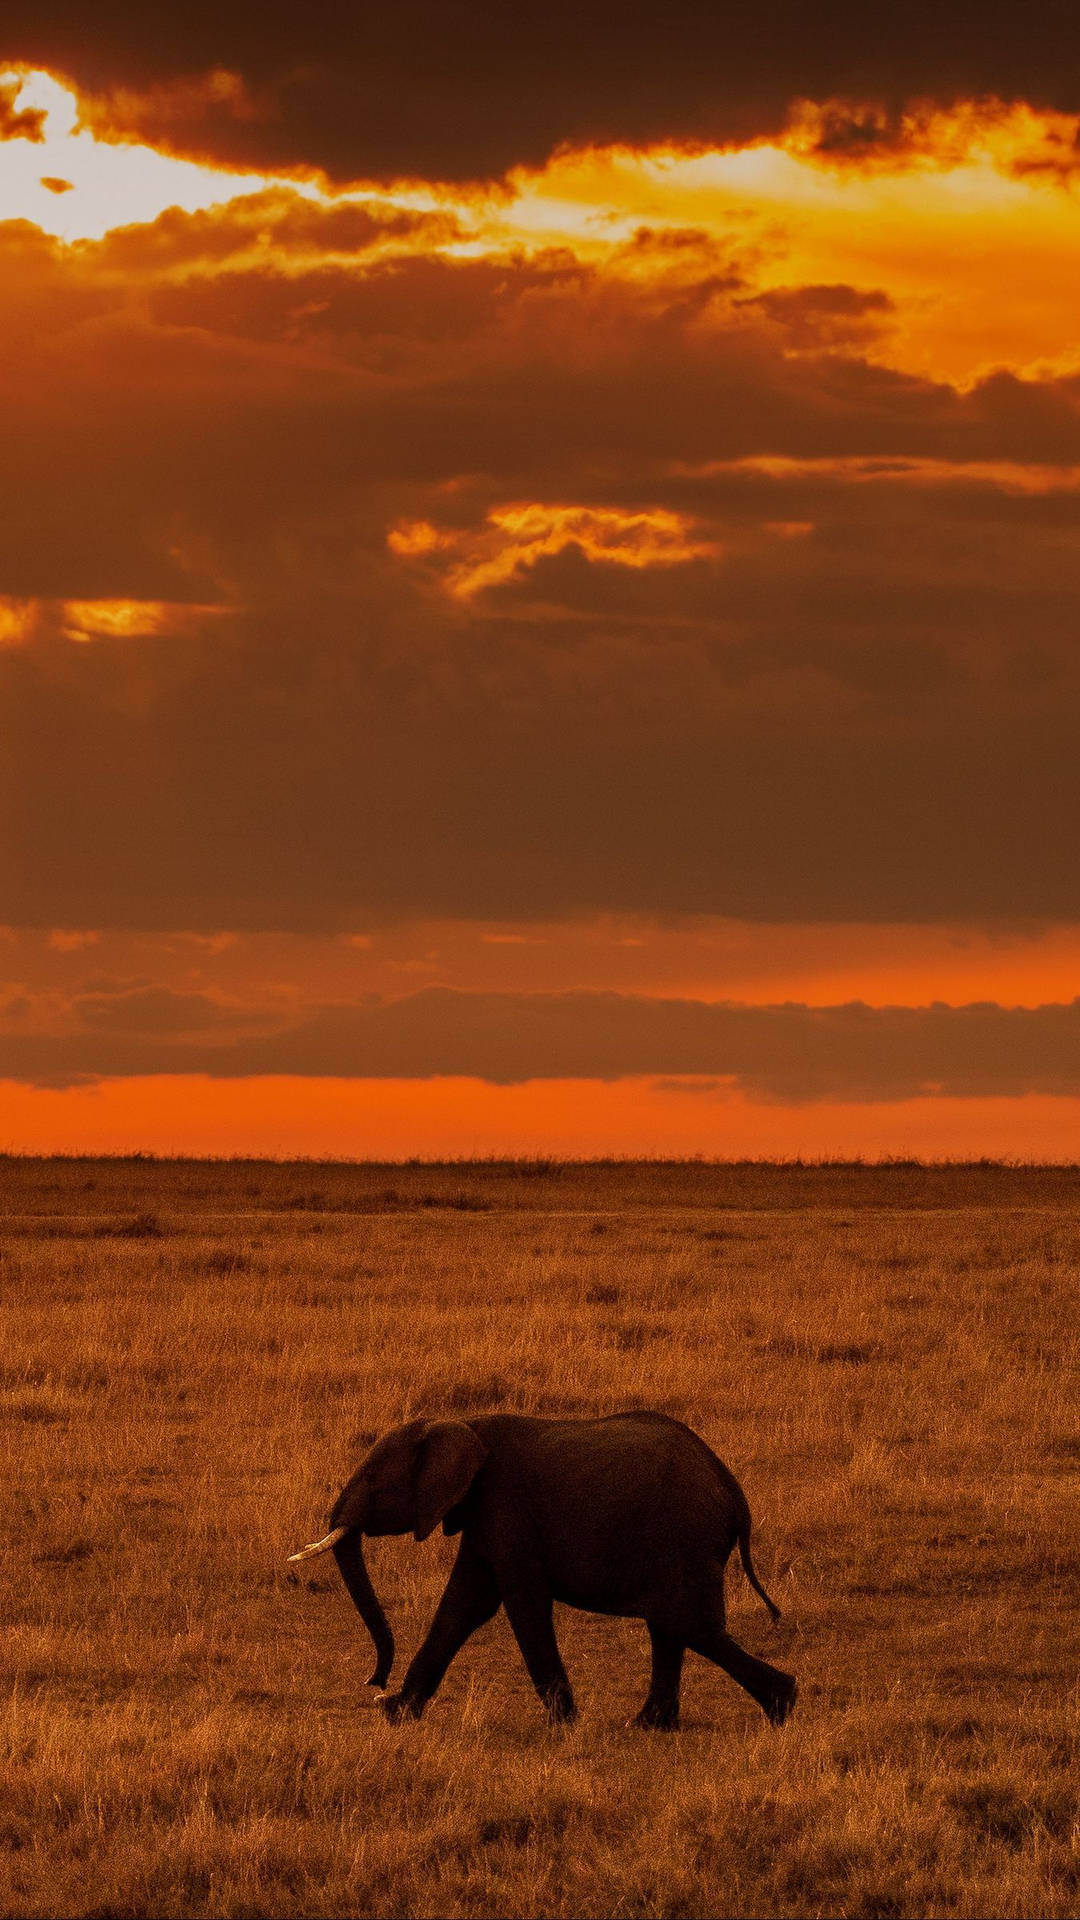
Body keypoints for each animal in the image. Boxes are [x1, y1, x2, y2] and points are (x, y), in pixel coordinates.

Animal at [289, 1410, 796, 1730]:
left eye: (374, 1480)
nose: (372, 1683)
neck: (461, 1422)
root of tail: (735, 1495)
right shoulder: (482, 1514)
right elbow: (462, 1606)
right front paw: (396, 1712)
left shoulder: (505, 1505)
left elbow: (521, 1604)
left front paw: (563, 1724)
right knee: (672, 1629)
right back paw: (647, 1724)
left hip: (685, 1540)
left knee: (688, 1626)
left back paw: (782, 1703)